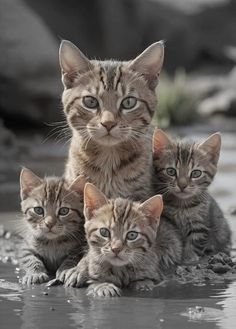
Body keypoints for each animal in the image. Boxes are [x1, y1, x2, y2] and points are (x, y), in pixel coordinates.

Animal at [152, 129, 231, 260]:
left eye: (196, 173)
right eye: (171, 171)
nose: (182, 185)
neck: (182, 206)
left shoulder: (200, 225)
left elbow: (194, 244)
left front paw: (189, 258)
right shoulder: (168, 220)